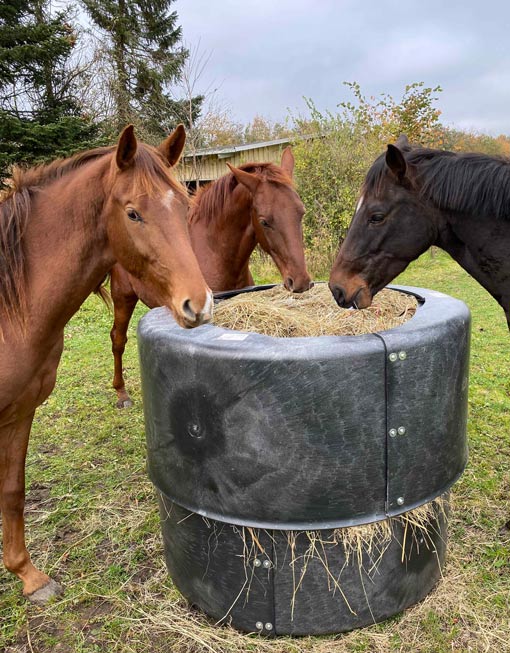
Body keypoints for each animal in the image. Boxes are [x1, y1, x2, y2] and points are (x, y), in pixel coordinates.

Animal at [0, 122, 211, 600]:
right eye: (133, 214)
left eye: (184, 206)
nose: (199, 304)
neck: (8, 307)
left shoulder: (19, 412)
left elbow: (13, 491)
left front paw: (28, 575)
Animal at [111, 146, 310, 408]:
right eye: (265, 221)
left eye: (301, 212)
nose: (301, 281)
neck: (214, 253)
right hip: (123, 298)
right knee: (118, 339)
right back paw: (121, 393)